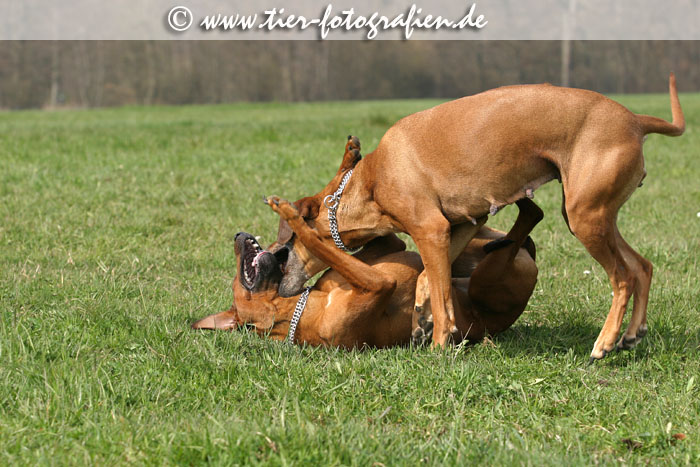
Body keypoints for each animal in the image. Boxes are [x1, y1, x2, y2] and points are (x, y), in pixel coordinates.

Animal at [272, 75, 684, 360]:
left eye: (282, 249)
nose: (279, 286)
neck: (370, 181)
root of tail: (635, 119)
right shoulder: (464, 224)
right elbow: (427, 278)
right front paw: (421, 316)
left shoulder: (431, 229)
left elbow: (442, 296)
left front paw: (438, 345)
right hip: (593, 215)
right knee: (643, 266)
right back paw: (632, 333)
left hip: (585, 217)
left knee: (623, 277)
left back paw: (605, 342)